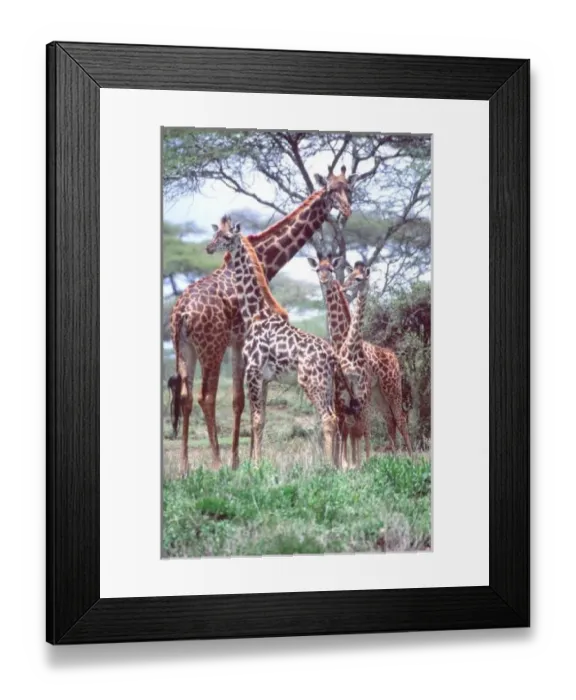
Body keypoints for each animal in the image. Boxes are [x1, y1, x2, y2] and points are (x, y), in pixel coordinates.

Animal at [205, 218, 344, 467]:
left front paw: (254, 465)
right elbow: (262, 420)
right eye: (216, 234)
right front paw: (256, 462)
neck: (255, 313)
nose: (209, 248)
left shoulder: (252, 371)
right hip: (329, 384)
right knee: (335, 418)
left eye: (227, 237)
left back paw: (328, 466)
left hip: (312, 382)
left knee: (328, 418)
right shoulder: (265, 378)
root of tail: (331, 356)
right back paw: (338, 465)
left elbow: (256, 419)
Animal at [307, 256, 413, 459]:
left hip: (392, 388)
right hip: (379, 394)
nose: (342, 287)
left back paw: (411, 459)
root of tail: (393, 356)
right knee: (389, 420)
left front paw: (356, 461)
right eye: (317, 269)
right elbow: (345, 427)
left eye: (331, 269)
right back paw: (394, 457)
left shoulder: (358, 393)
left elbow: (359, 427)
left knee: (400, 418)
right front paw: (342, 462)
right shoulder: (341, 394)